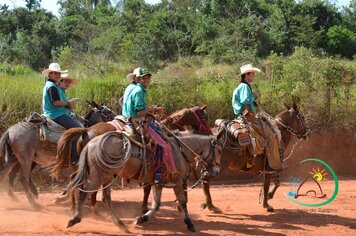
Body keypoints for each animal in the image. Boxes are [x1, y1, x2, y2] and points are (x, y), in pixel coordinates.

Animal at [65, 131, 221, 232]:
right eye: (219, 150)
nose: (216, 172)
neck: (179, 150)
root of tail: (91, 143)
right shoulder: (177, 181)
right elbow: (182, 202)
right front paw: (189, 224)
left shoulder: (158, 183)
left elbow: (156, 205)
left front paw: (140, 219)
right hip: (99, 176)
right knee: (84, 193)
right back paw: (75, 219)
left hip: (106, 177)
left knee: (105, 199)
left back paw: (120, 225)